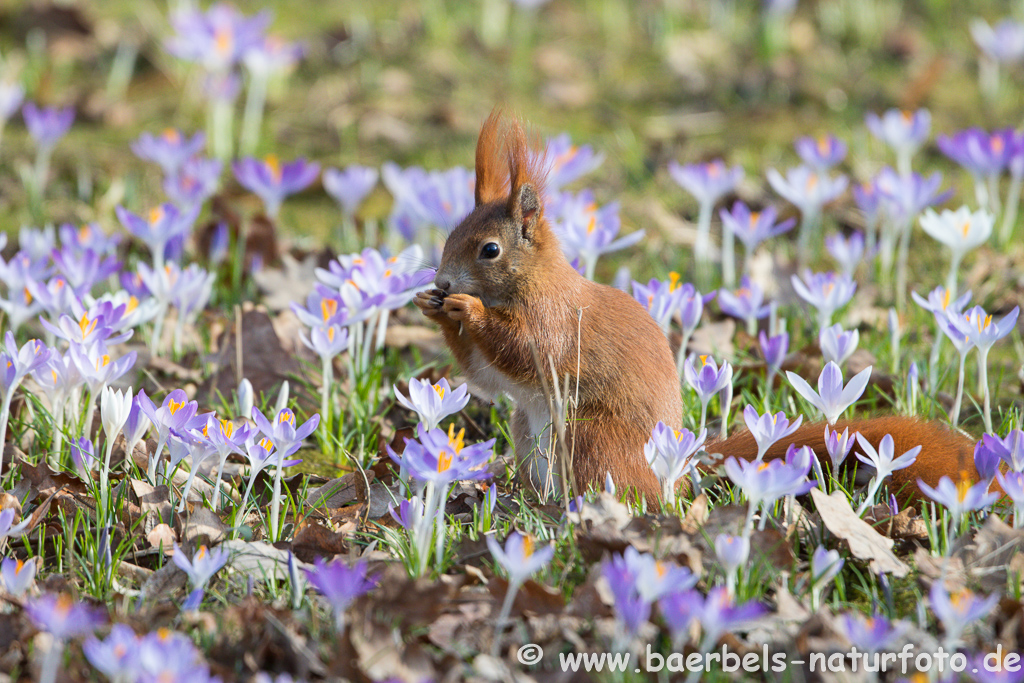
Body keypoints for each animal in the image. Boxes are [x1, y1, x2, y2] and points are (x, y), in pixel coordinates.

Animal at [413, 112, 974, 505]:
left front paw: (467, 308)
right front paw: (433, 307)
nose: (442, 281)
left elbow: (525, 349)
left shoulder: (555, 321)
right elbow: (486, 376)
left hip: (590, 438)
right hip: (529, 431)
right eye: (451, 235)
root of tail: (678, 470)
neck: (533, 281)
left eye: (490, 250)